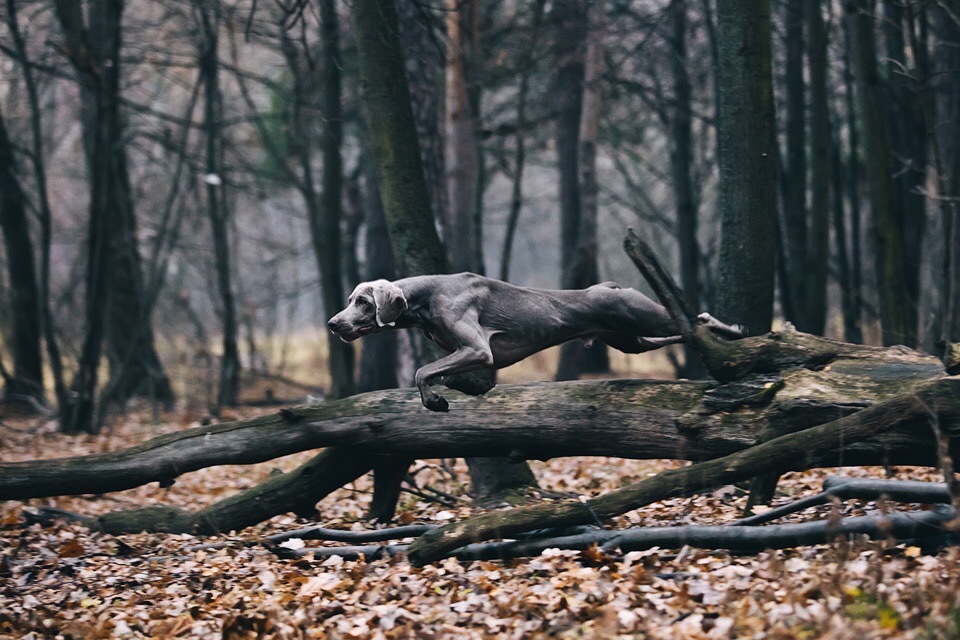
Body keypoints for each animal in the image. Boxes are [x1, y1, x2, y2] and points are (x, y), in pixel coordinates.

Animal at [328, 272, 744, 412]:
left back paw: (733, 330)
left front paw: (434, 401)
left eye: (362, 301)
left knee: (697, 318)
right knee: (681, 333)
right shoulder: (467, 354)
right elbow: (441, 373)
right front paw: (454, 390)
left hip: (646, 315)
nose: (333, 323)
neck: (426, 296)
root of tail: (612, 286)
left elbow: (421, 371)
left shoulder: (478, 349)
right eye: (350, 299)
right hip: (631, 341)